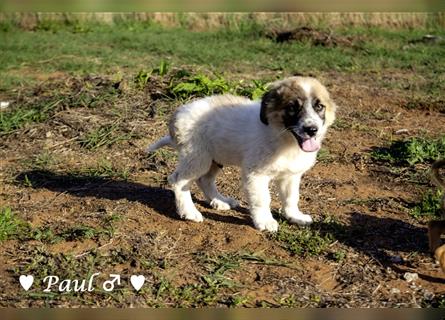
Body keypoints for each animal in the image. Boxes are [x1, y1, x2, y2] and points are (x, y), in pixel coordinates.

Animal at [147, 76, 334, 231]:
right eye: (292, 108)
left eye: (319, 107)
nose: (311, 130)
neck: (285, 139)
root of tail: (177, 114)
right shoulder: (256, 175)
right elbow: (262, 199)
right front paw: (265, 221)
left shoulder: (290, 176)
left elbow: (291, 197)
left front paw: (294, 216)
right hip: (197, 158)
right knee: (178, 180)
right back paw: (189, 212)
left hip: (214, 158)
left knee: (205, 180)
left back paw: (220, 201)